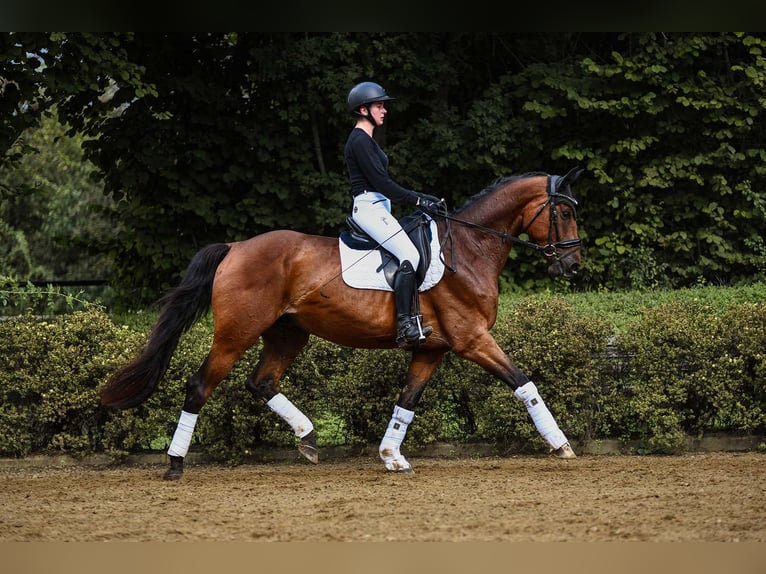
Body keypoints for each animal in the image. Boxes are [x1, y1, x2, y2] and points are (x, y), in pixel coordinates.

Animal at [99, 168, 584, 482]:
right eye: (563, 213)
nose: (574, 266)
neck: (468, 247)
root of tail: (235, 247)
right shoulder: (473, 340)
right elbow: (524, 383)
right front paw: (561, 444)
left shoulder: (432, 349)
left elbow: (406, 401)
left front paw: (391, 457)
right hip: (236, 334)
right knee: (201, 386)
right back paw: (175, 464)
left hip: (288, 333)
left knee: (262, 381)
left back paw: (308, 438)